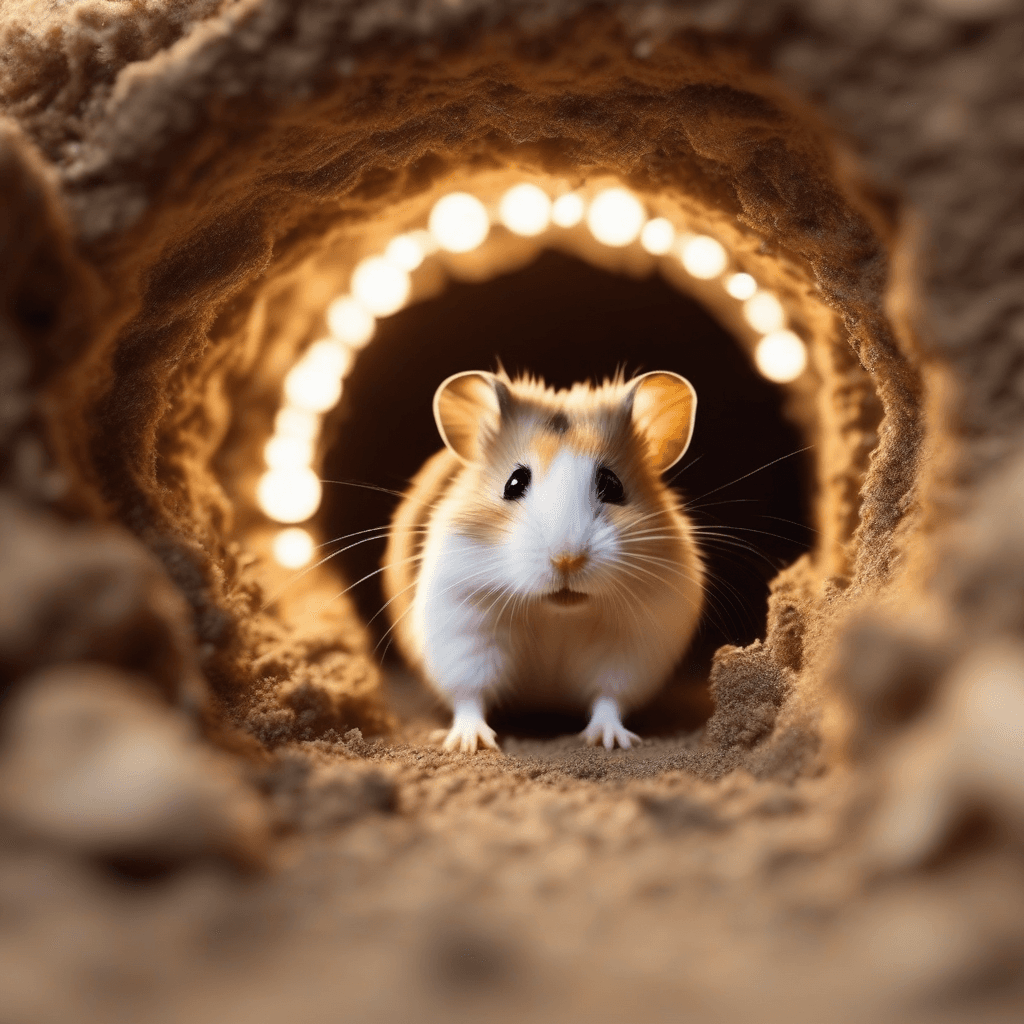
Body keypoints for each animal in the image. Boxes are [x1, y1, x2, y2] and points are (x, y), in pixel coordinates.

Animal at [382, 369, 704, 753]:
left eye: (613, 485)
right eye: (514, 482)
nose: (567, 560)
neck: (557, 613)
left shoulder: (631, 645)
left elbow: (609, 697)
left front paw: (611, 741)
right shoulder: (464, 626)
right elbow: (469, 695)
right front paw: (469, 743)